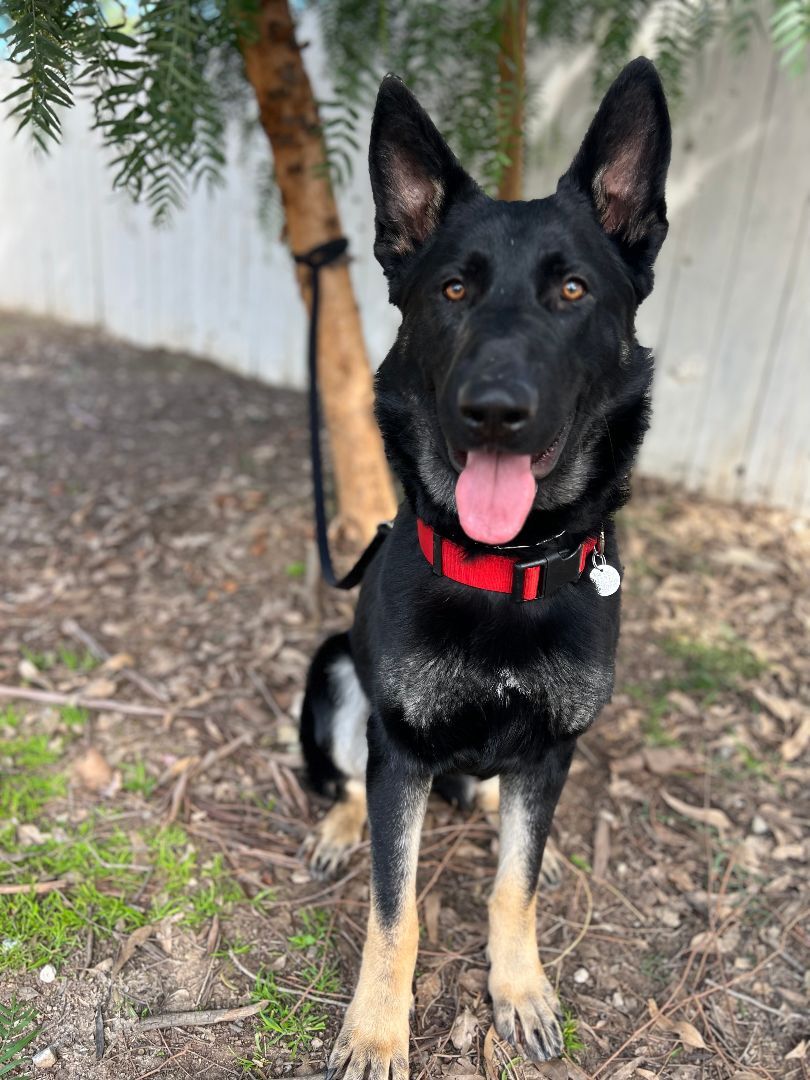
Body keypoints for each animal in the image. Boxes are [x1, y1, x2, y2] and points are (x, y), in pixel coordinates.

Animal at [300, 57, 671, 1078]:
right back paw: (339, 830)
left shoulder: (549, 753)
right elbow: (395, 910)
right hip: (333, 672)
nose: (494, 410)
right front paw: (377, 1030)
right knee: (350, 778)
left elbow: (516, 885)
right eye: (453, 292)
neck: (506, 570)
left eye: (574, 291)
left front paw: (519, 987)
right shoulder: (401, 750)